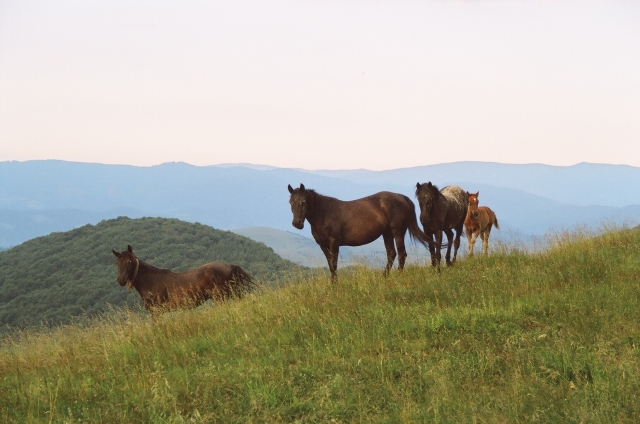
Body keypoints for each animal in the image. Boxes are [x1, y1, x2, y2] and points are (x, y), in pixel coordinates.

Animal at [111, 245, 254, 314]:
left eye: (130, 261)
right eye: (117, 263)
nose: (121, 280)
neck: (150, 281)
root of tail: (229, 266)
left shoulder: (156, 312)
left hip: (221, 297)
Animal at [288, 184, 432, 280]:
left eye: (303, 201)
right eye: (290, 202)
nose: (297, 223)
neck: (324, 213)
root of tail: (403, 198)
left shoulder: (334, 243)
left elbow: (334, 264)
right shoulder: (323, 245)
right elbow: (330, 265)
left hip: (397, 232)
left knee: (402, 254)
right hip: (387, 233)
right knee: (391, 254)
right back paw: (384, 276)